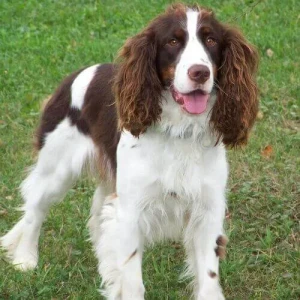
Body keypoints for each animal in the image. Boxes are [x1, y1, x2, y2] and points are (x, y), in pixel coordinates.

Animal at [0, 2, 258, 300]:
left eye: (211, 40)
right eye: (173, 41)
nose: (200, 73)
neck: (180, 130)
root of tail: (75, 76)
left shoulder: (208, 210)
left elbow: (208, 276)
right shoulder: (132, 211)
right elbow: (133, 278)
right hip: (56, 169)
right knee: (35, 208)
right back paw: (25, 258)